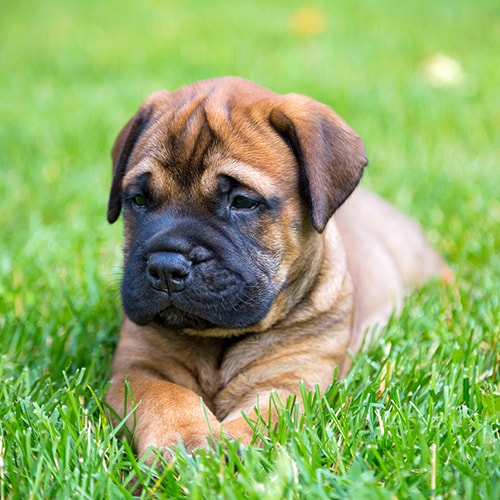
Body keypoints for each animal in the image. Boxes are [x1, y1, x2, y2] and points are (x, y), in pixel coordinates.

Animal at [106, 75, 450, 460]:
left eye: (242, 202)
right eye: (138, 200)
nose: (166, 267)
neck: (218, 340)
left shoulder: (296, 378)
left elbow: (265, 416)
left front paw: (229, 449)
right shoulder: (138, 368)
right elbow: (165, 397)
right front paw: (187, 442)